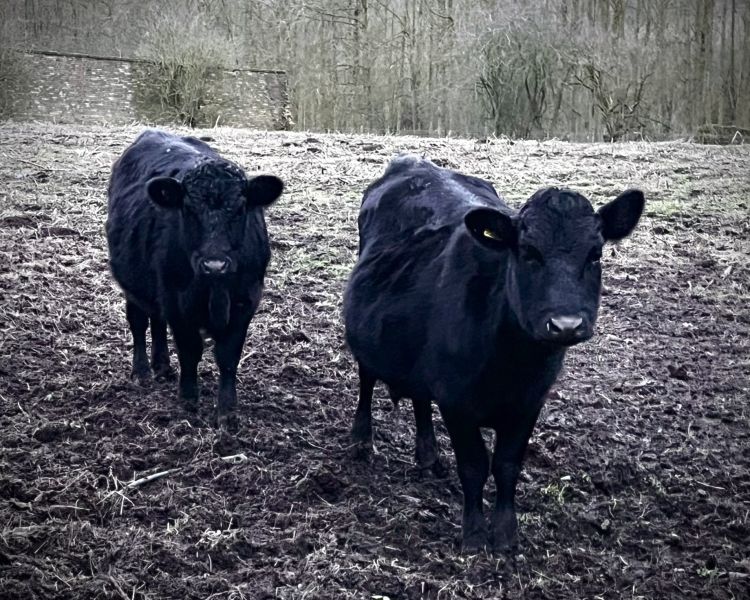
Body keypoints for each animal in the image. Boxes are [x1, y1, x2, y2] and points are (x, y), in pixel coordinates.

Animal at [106, 130, 283, 428]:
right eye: (188, 209)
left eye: (240, 209)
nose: (215, 265)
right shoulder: (177, 301)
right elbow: (190, 350)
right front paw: (188, 399)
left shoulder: (246, 301)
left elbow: (228, 356)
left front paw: (227, 410)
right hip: (134, 284)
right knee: (139, 322)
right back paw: (142, 371)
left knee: (157, 320)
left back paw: (162, 366)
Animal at [343, 156, 643, 552]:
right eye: (528, 252)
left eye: (594, 254)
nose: (565, 324)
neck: (512, 363)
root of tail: (412, 162)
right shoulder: (456, 402)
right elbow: (474, 466)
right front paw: (473, 535)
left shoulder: (529, 403)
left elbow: (506, 465)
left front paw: (505, 535)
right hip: (367, 333)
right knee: (367, 378)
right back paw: (362, 439)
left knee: (420, 398)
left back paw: (428, 454)